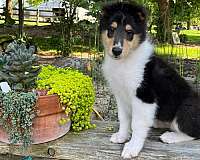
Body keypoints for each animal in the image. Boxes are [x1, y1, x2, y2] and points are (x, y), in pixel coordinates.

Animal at [100, 1, 200, 159]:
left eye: (129, 32)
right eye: (111, 29)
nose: (116, 51)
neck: (125, 61)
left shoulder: (144, 97)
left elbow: (137, 124)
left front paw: (132, 148)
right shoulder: (120, 95)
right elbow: (123, 118)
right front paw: (121, 136)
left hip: (186, 108)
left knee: (194, 132)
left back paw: (170, 136)